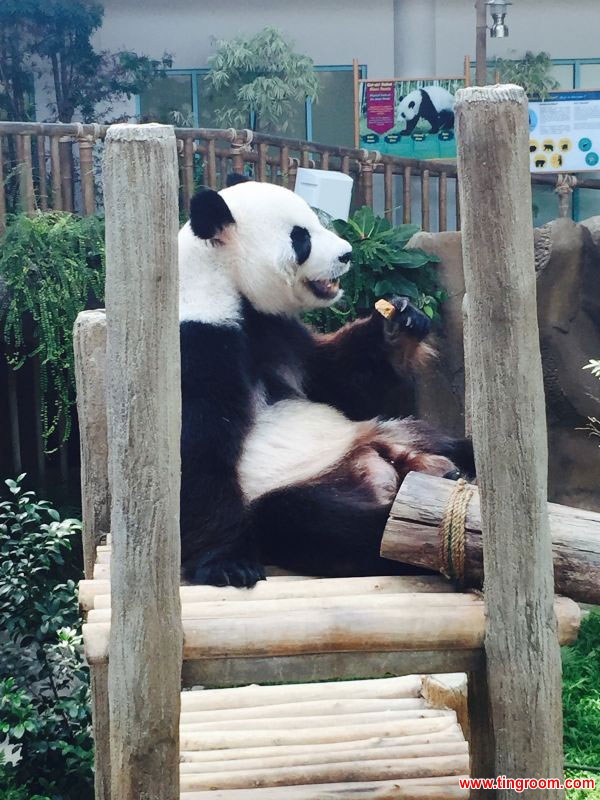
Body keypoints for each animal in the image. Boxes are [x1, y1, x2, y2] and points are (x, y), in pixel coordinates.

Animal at [178, 177, 474, 588]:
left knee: (444, 442)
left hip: (386, 432)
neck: (222, 282)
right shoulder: (196, 342)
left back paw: (447, 467)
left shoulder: (279, 330)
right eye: (301, 237)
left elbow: (338, 382)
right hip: (291, 488)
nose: (347, 254)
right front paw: (227, 563)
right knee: (323, 523)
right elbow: (196, 449)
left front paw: (398, 324)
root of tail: (373, 469)